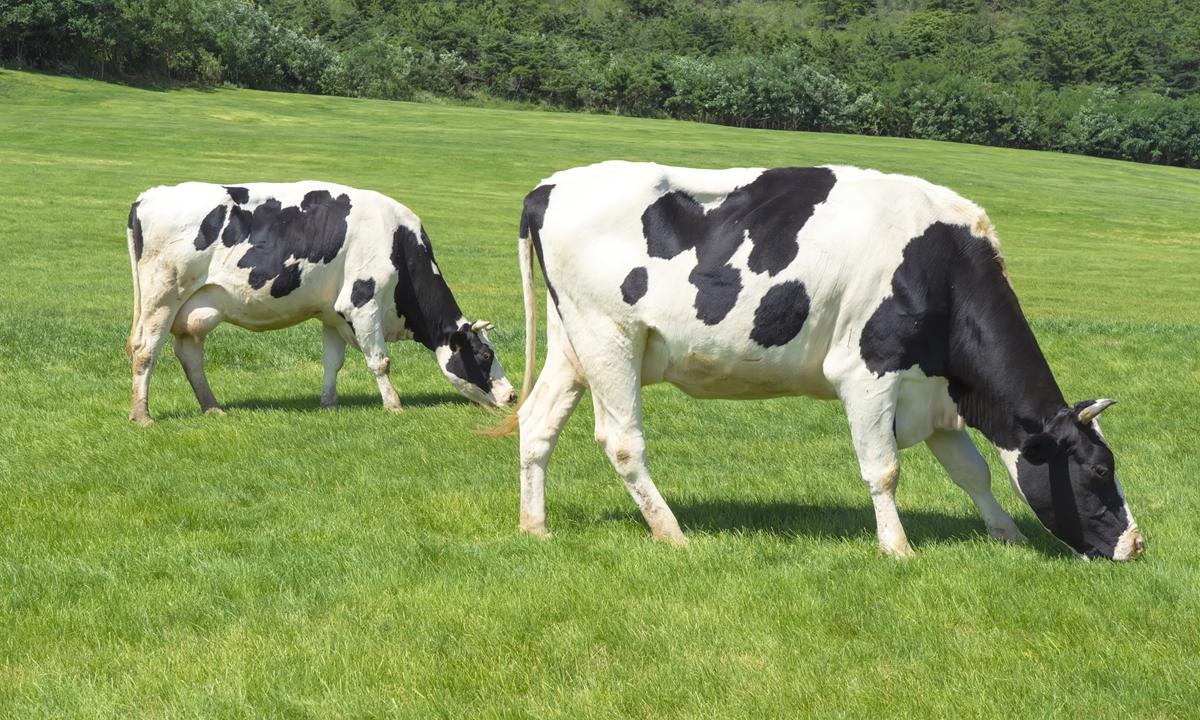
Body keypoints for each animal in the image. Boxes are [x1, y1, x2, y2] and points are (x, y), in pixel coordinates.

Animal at [127, 181, 516, 424]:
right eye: (485, 355)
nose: (513, 396)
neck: (398, 240)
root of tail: (148, 196)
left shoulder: (334, 314)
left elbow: (332, 362)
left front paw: (329, 403)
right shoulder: (362, 302)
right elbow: (381, 361)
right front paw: (393, 405)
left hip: (194, 308)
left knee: (189, 355)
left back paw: (212, 408)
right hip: (162, 297)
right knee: (145, 350)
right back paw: (142, 415)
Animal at [491, 161, 1144, 561]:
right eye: (1097, 470)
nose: (1136, 545)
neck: (941, 264)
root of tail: (548, 187)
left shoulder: (935, 394)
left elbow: (974, 472)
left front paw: (1005, 534)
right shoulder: (867, 371)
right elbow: (884, 469)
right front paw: (897, 548)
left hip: (573, 342)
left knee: (538, 422)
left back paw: (535, 526)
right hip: (610, 336)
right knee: (623, 441)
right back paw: (672, 534)